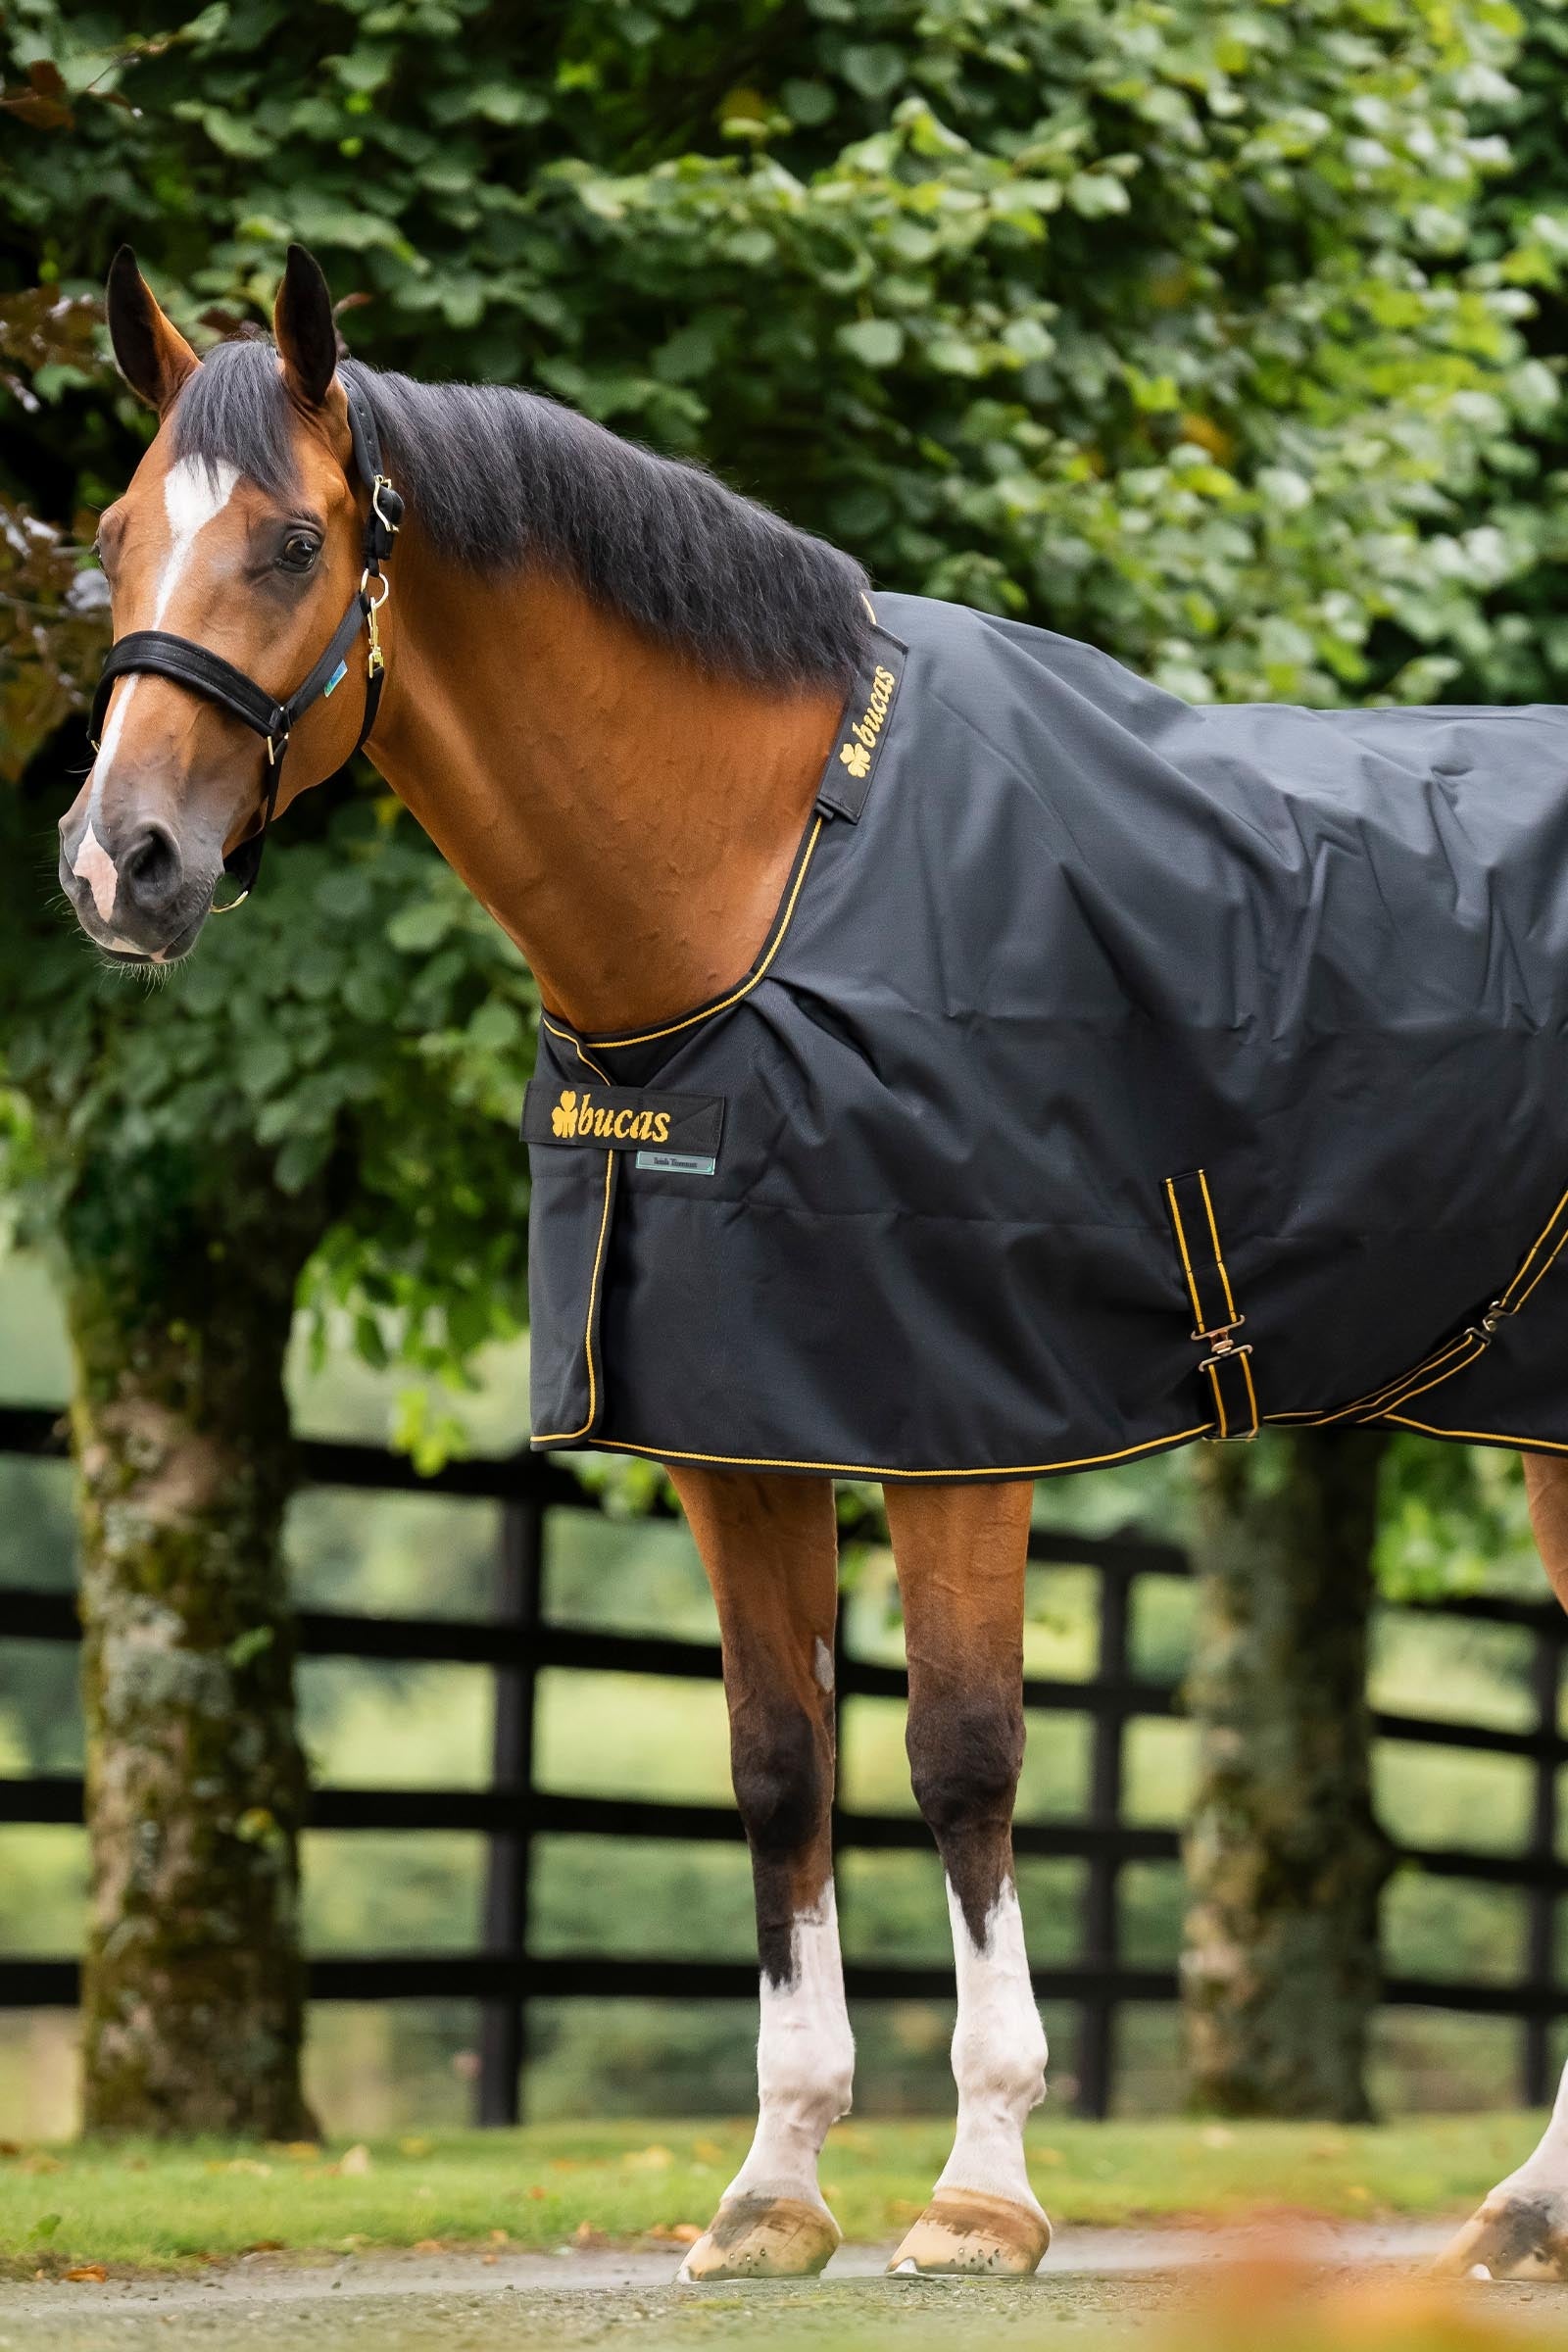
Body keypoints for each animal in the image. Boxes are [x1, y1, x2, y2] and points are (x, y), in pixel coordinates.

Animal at [56, 241, 1568, 2285]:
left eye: (293, 543)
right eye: (113, 537)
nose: (114, 862)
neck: (773, 880)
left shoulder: (966, 1418)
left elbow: (962, 1758)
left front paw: (983, 2191)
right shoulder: (734, 1425)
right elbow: (781, 1770)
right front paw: (772, 2193)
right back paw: (1527, 2213)